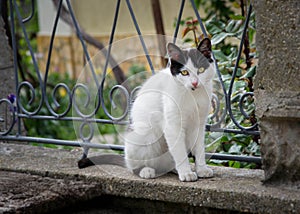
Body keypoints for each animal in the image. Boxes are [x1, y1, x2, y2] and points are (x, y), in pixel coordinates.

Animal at [78, 37, 216, 181]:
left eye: (201, 70)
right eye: (184, 72)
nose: (195, 83)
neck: (193, 95)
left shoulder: (199, 124)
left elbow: (199, 149)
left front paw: (202, 169)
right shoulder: (173, 125)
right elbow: (179, 151)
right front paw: (186, 173)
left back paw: (172, 169)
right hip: (144, 137)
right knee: (134, 168)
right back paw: (146, 170)